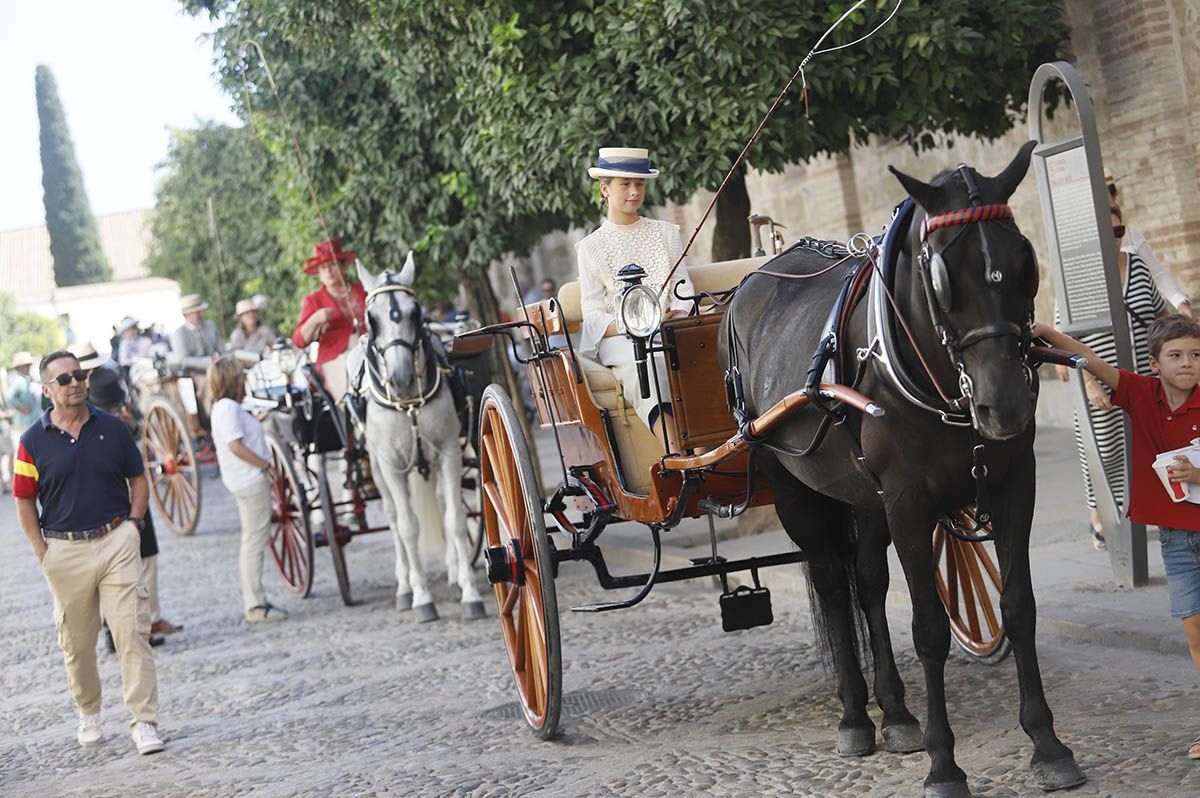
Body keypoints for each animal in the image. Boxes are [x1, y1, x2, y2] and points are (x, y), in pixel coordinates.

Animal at [350, 255, 484, 624]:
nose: (401, 378)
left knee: (441, 504)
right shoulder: (392, 465)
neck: (408, 403)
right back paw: (404, 586)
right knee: (395, 519)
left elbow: (455, 520)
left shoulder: (449, 451)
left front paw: (470, 592)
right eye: (372, 318)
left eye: (416, 312)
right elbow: (408, 526)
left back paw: (454, 573)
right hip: (378, 467)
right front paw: (422, 597)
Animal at [720, 139, 1089, 792]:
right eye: (940, 276)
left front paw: (1047, 744)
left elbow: (1018, 607)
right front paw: (945, 765)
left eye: (1024, 260)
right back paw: (854, 717)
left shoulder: (1013, 485)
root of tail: (755, 278)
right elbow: (930, 629)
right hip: (793, 485)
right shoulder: (908, 503)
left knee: (867, 582)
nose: (1005, 405)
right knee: (831, 585)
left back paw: (894, 712)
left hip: (861, 494)